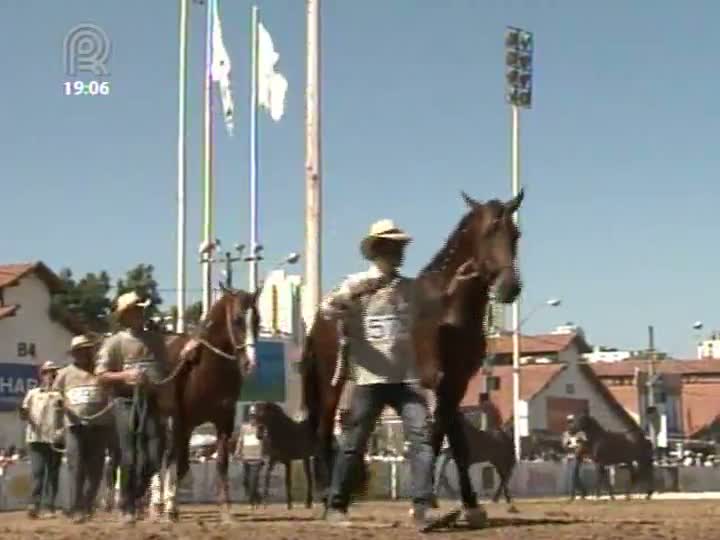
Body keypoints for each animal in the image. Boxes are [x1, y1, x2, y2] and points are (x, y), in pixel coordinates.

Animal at [300, 190, 524, 516]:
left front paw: (470, 504)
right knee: (324, 431)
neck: (449, 311)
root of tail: (322, 316)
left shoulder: (456, 382)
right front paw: (427, 499)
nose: (510, 288)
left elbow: (455, 441)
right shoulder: (436, 381)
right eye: (486, 233)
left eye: (515, 234)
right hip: (331, 382)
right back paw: (329, 494)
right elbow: (436, 436)